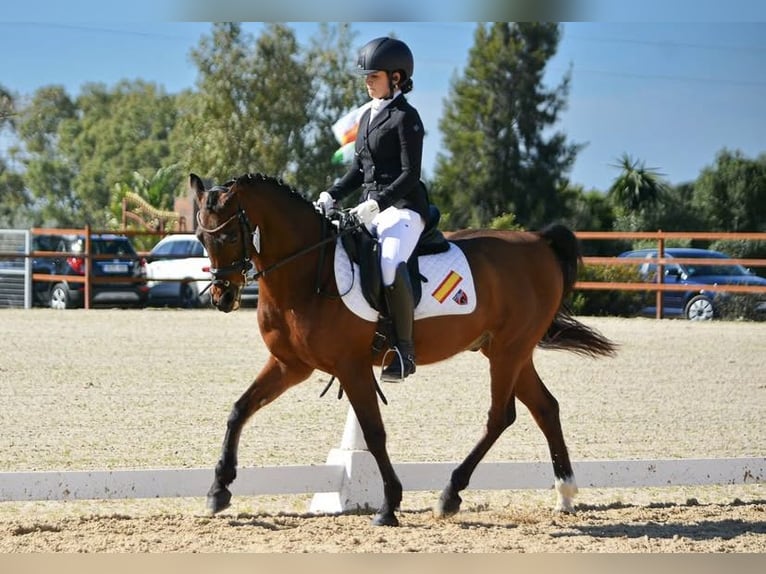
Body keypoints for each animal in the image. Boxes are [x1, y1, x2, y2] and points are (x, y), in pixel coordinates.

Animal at [190, 173, 616, 528]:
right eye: (201, 239)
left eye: (228, 237)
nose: (222, 298)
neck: (307, 270)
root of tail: (539, 242)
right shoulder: (290, 364)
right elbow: (239, 409)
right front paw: (218, 491)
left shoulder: (351, 366)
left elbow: (374, 432)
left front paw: (389, 505)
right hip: (508, 350)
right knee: (544, 407)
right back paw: (564, 493)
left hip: (508, 351)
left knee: (500, 416)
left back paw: (450, 494)